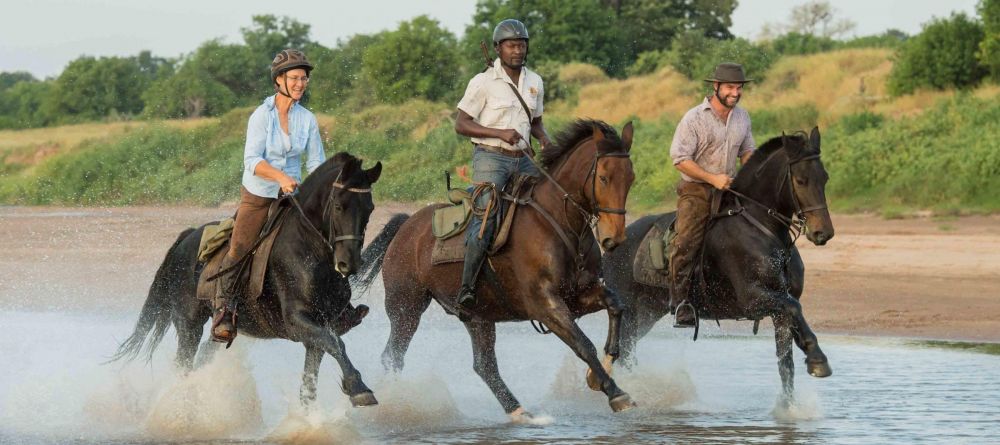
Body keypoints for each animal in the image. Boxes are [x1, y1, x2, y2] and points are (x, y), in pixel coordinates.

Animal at [109, 152, 382, 406]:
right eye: (338, 206)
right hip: (189, 324)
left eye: (369, 209)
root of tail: (186, 238)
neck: (310, 250)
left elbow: (310, 383)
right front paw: (358, 388)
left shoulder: (319, 327)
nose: (348, 263)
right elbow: (336, 344)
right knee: (183, 365)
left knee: (202, 358)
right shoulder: (298, 321)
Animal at [356, 119, 636, 416]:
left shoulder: (576, 297)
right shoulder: (546, 306)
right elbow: (583, 345)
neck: (559, 224)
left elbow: (615, 306)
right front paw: (616, 393)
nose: (614, 238)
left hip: (478, 316)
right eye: (604, 178)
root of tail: (406, 227)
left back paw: (520, 412)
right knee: (393, 356)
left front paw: (600, 373)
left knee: (484, 365)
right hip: (406, 308)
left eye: (630, 178)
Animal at [600, 126, 836, 400]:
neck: (762, 229)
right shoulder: (753, 298)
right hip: (629, 312)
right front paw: (817, 359)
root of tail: (610, 248)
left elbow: (786, 362)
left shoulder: (780, 307)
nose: (823, 232)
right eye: (800, 180)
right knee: (623, 353)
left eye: (825, 178)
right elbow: (794, 309)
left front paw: (790, 404)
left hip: (648, 312)